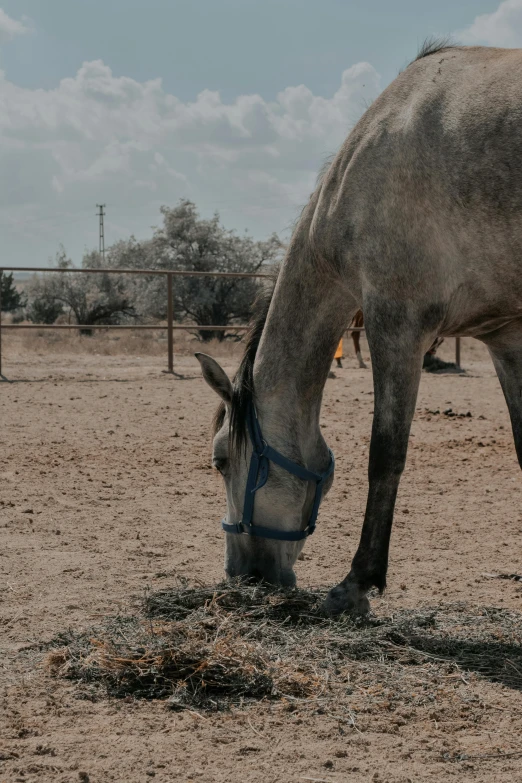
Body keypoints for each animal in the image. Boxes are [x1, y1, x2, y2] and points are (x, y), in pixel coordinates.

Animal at [194, 43, 520, 616]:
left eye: (219, 461)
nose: (242, 575)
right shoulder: (506, 337)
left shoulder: (397, 326)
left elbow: (385, 455)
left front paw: (356, 584)